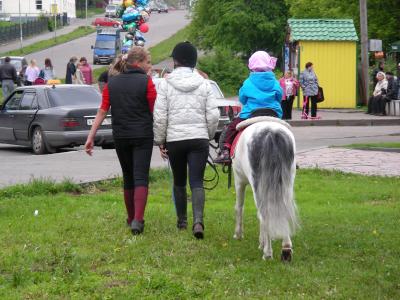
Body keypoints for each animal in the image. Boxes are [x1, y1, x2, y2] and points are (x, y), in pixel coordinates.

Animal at [231, 116, 296, 262]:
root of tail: (271, 133)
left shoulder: (239, 181)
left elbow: (239, 207)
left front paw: (238, 234)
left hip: (258, 184)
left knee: (264, 213)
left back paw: (267, 253)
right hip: (287, 183)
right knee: (283, 210)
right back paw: (286, 249)